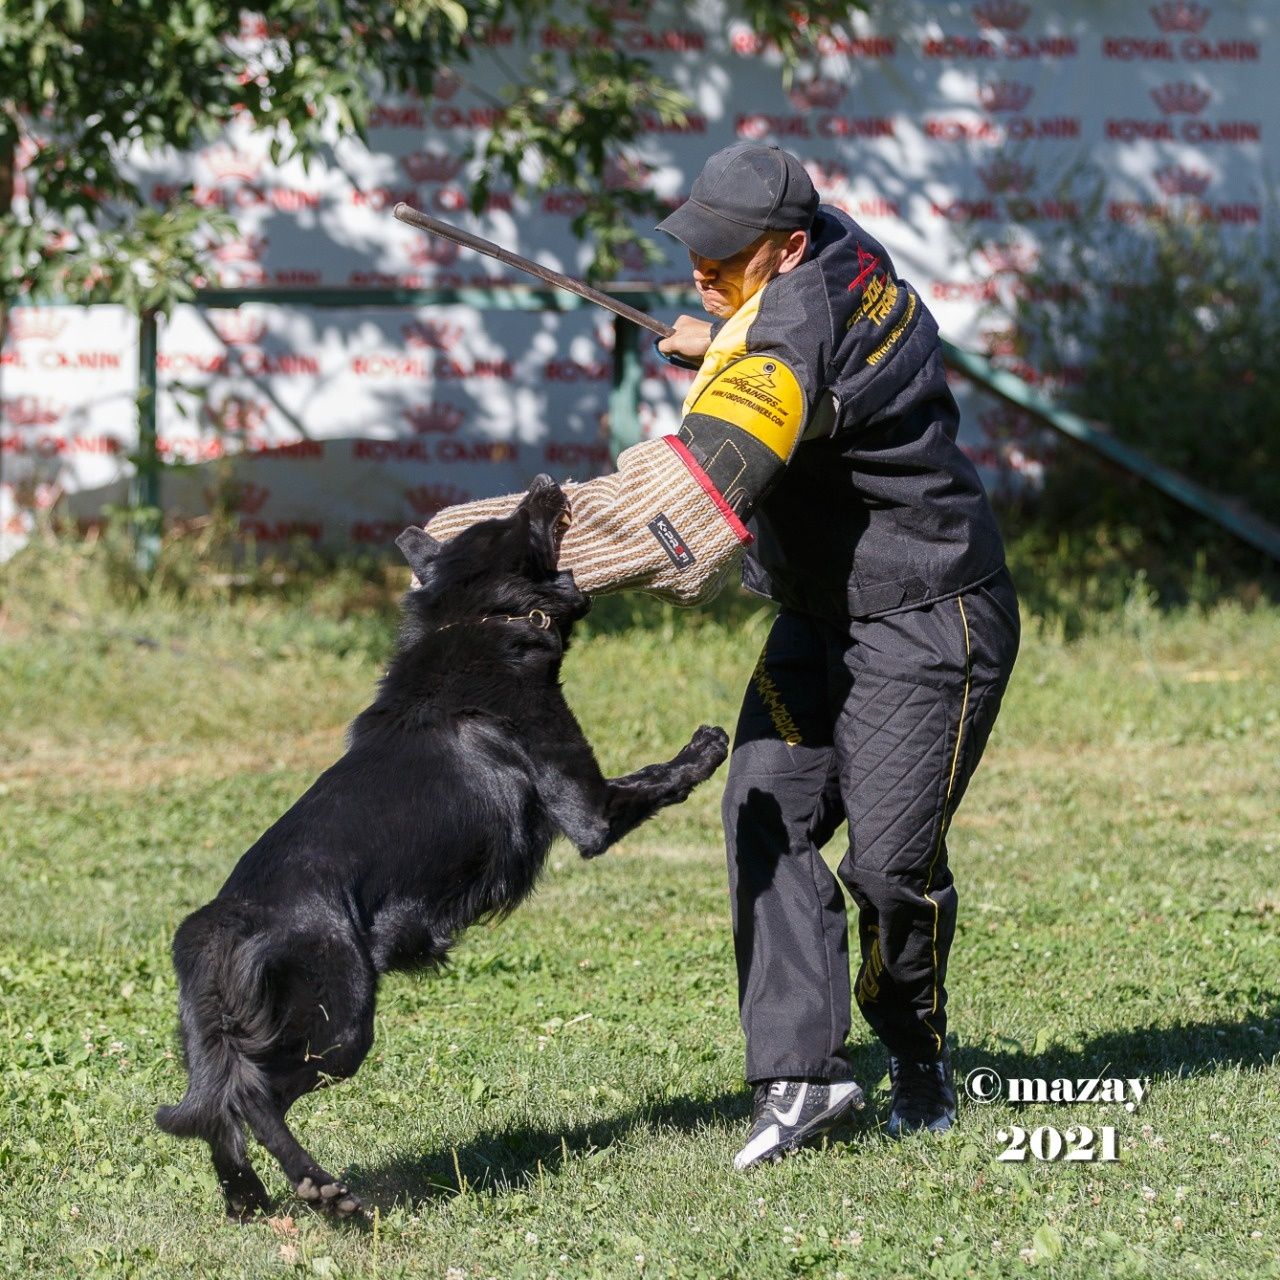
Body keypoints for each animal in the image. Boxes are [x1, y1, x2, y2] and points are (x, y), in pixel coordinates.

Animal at [154, 478, 727, 1218]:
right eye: (515, 519)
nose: (545, 484)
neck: (476, 617)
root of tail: (222, 921)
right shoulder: (589, 809)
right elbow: (656, 779)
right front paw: (707, 747)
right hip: (340, 1026)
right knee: (251, 1094)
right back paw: (320, 1189)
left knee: (219, 1108)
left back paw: (249, 1199)